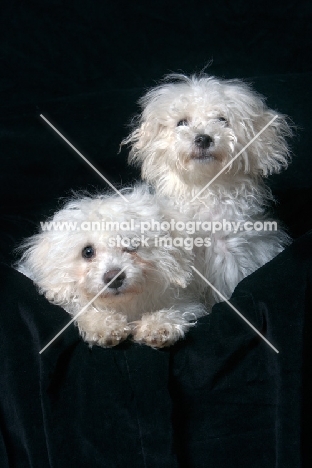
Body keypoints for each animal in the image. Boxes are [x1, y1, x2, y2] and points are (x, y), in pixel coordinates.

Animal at [15, 186, 204, 348]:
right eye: (87, 251)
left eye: (131, 244)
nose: (114, 277)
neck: (123, 304)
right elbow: (81, 307)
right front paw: (104, 324)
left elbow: (177, 310)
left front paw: (157, 324)